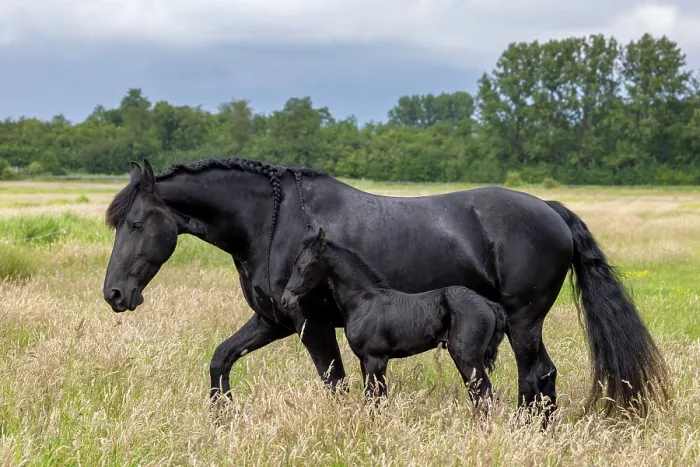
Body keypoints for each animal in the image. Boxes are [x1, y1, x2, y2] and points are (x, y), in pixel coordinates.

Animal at [280, 227, 507, 406]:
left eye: (302, 268)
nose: (285, 300)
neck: (363, 301)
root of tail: (488, 304)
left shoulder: (375, 359)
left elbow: (375, 399)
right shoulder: (365, 361)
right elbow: (375, 397)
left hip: (467, 356)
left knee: (485, 394)